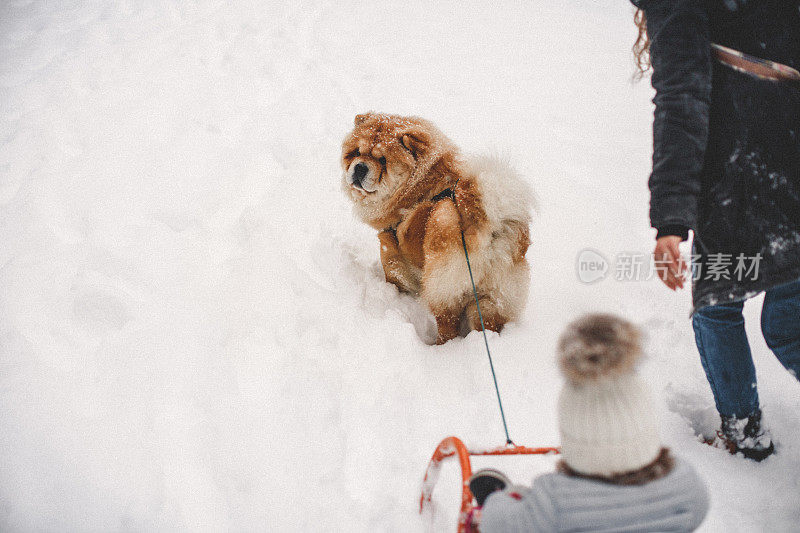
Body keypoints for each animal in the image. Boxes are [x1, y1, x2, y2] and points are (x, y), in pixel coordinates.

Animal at [342, 113, 536, 344]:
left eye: (383, 161)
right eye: (356, 153)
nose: (360, 167)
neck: (415, 190)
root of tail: (493, 233)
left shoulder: (394, 261)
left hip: (442, 280)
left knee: (448, 324)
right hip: (495, 297)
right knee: (487, 323)